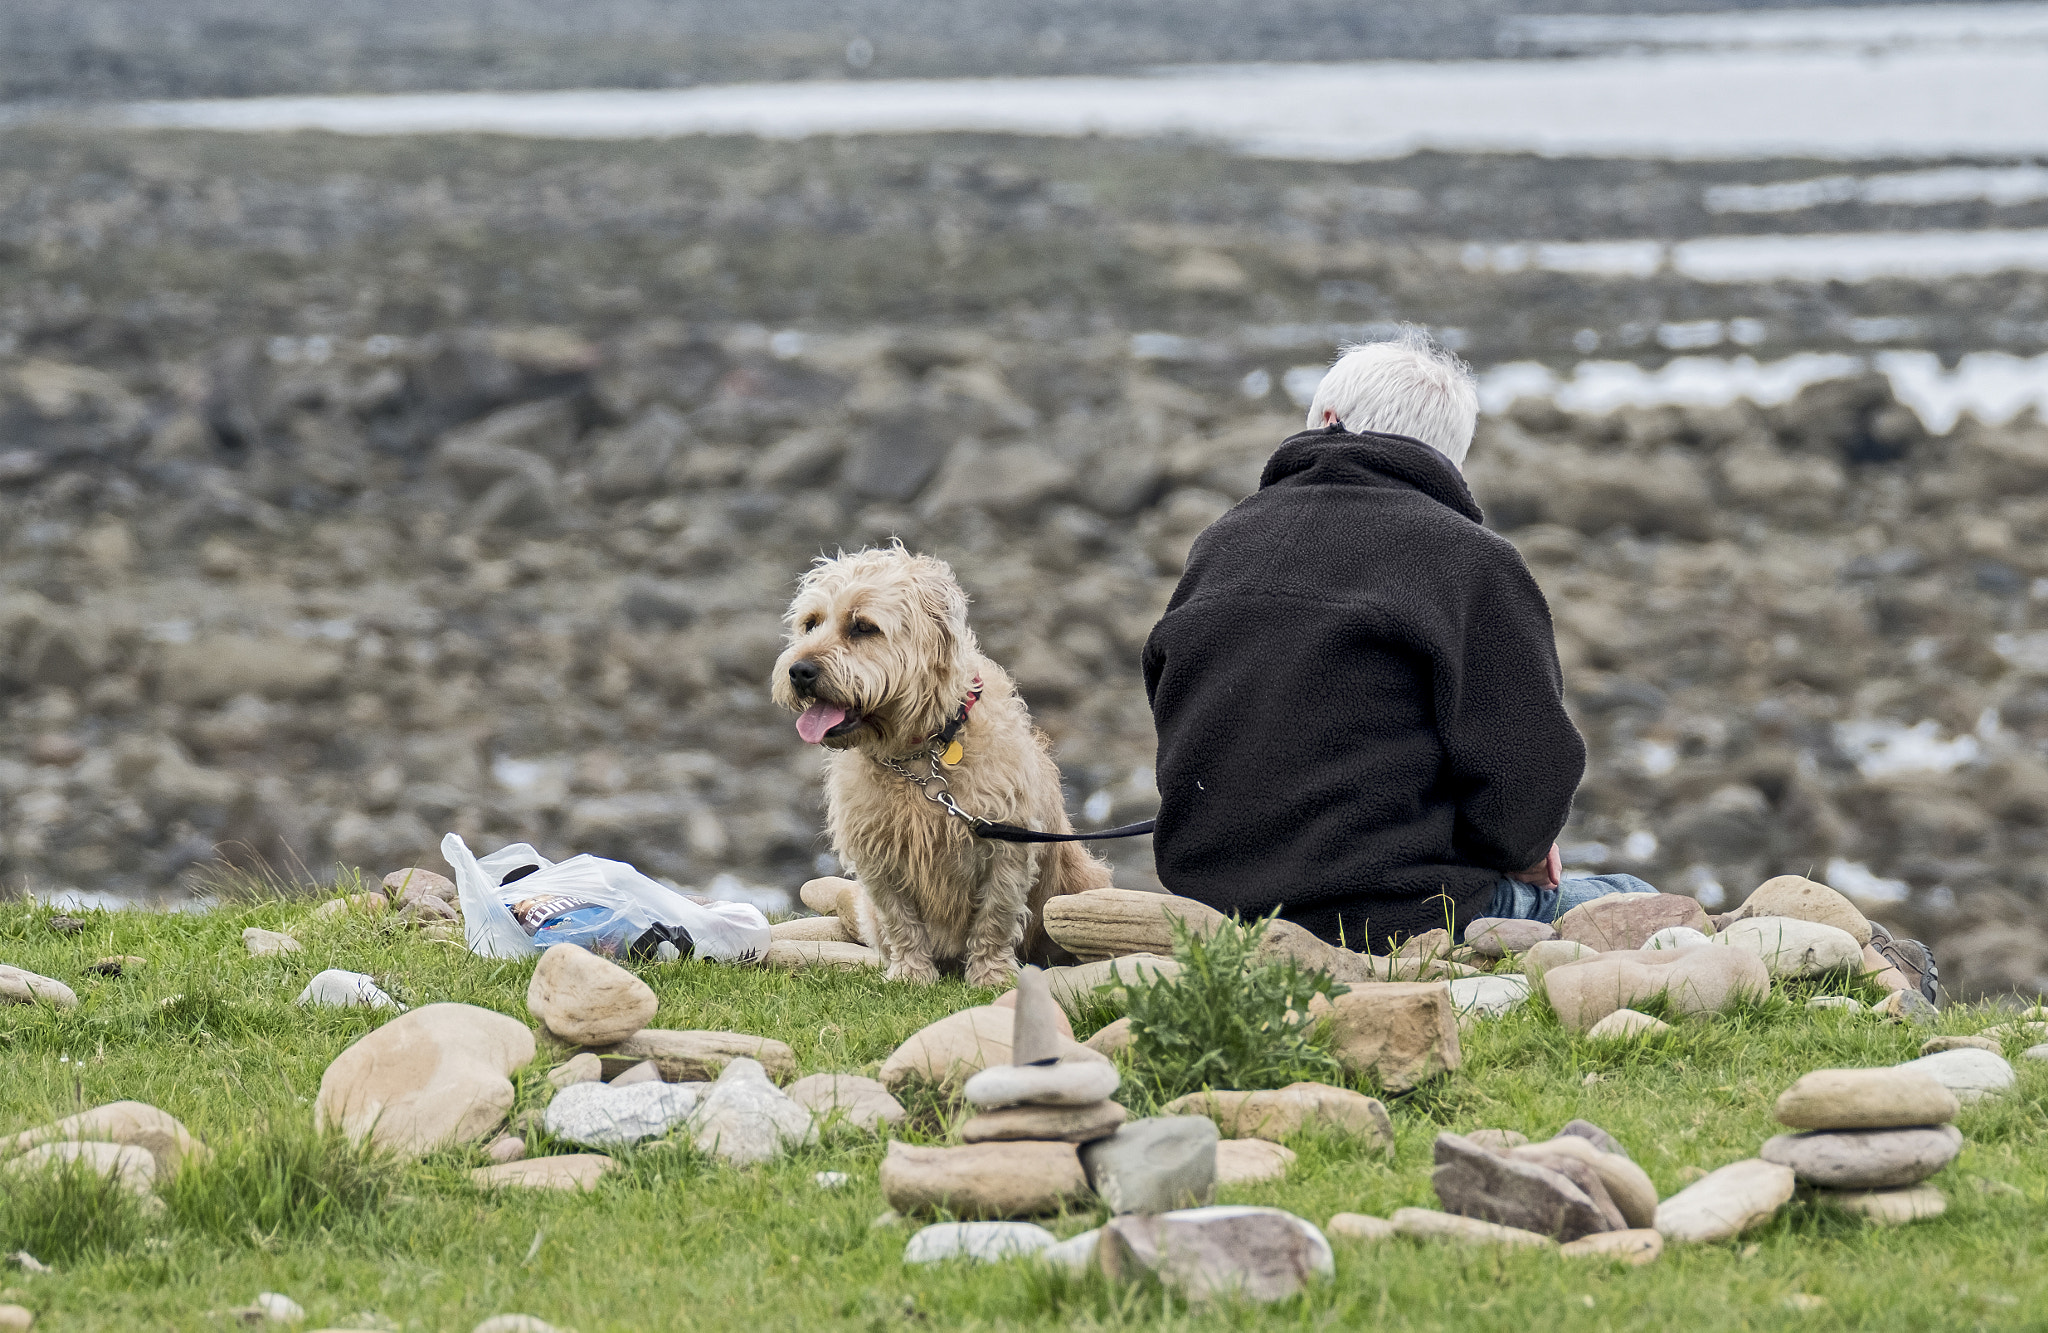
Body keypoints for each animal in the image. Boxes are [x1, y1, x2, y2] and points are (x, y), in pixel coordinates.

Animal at [770, 544, 1122, 991]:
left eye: (863, 627)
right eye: (810, 623)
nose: (799, 671)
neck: (920, 755)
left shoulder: (1005, 846)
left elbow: (994, 916)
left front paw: (991, 976)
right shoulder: (878, 856)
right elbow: (899, 918)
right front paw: (911, 973)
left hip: (1078, 886)